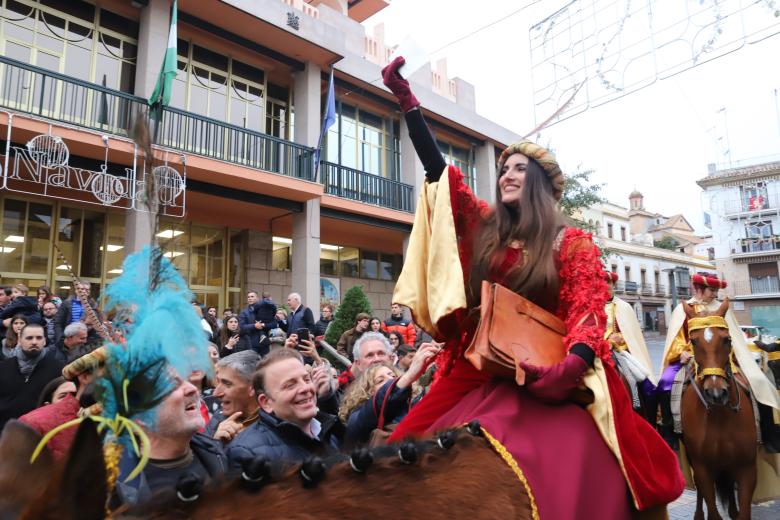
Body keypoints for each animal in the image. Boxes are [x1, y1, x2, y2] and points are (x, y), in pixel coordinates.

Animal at [680, 300, 760, 520]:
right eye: (693, 341)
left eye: (727, 339)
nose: (716, 393)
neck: (720, 417)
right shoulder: (702, 468)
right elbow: (711, 506)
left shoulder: (747, 468)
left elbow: (744, 512)